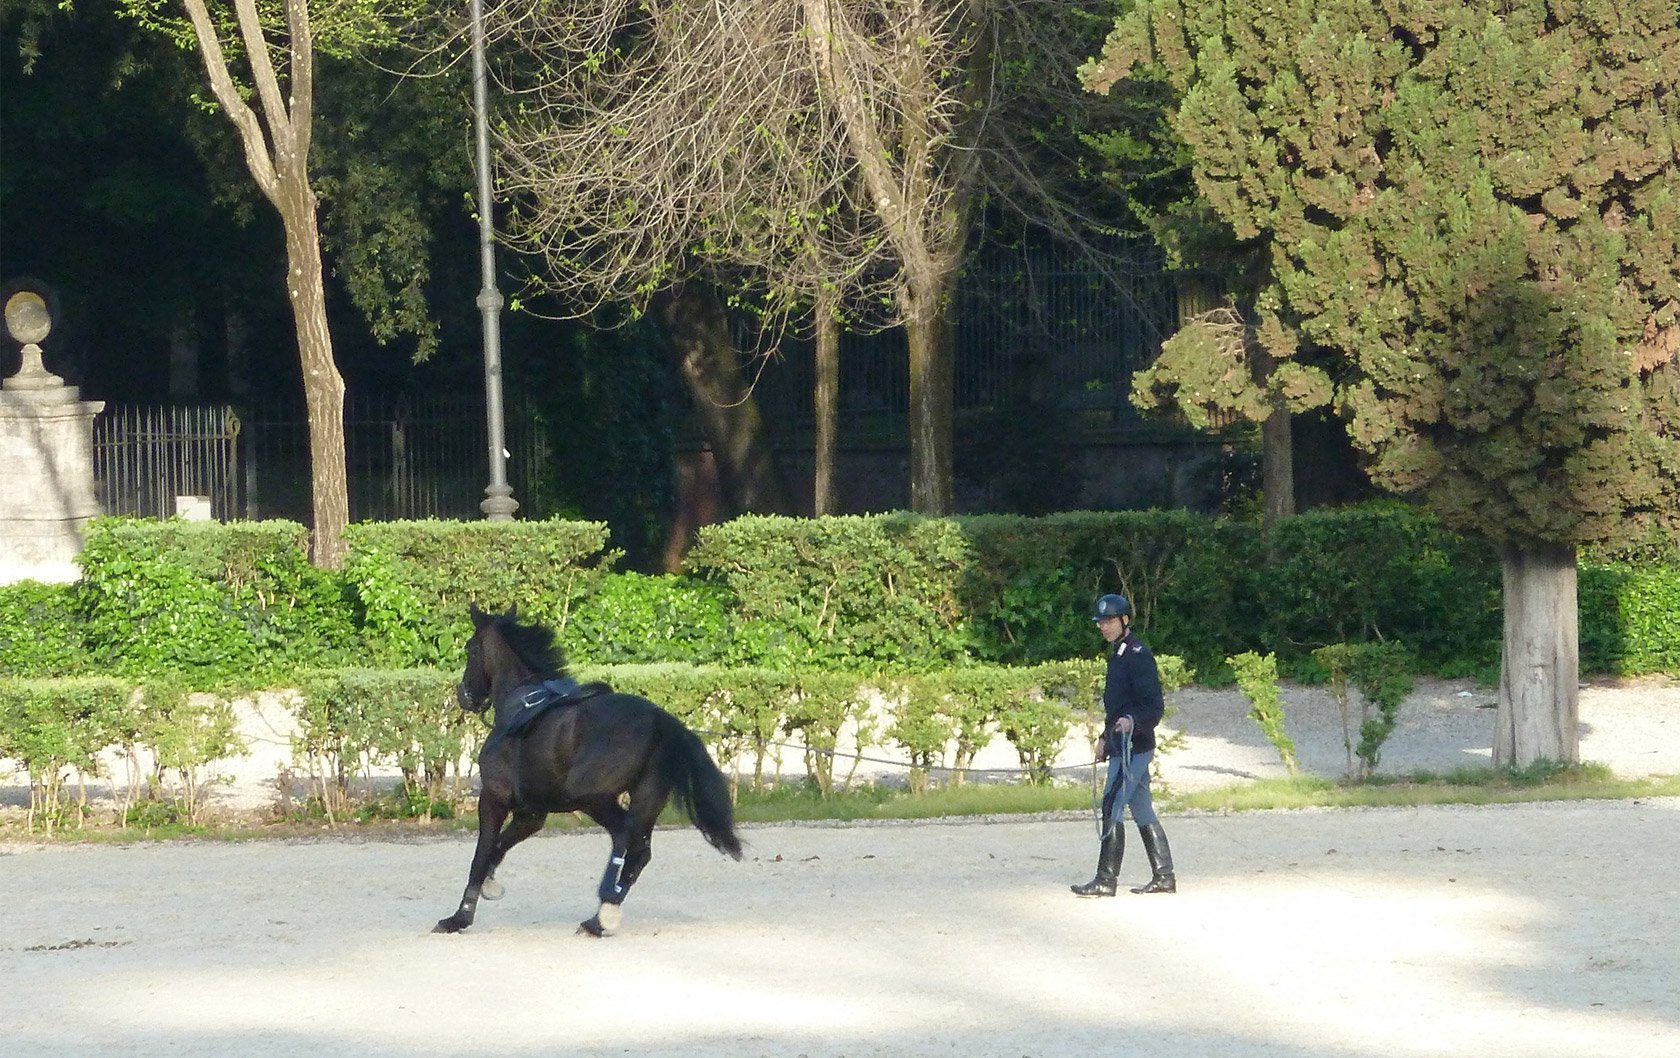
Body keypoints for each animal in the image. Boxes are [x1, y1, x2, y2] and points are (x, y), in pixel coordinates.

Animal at [433, 604, 742, 933]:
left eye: (471, 649)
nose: (465, 695)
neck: (521, 707)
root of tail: (659, 719)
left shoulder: (493, 798)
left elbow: (481, 856)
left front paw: (459, 917)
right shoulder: (532, 813)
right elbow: (498, 848)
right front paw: (490, 885)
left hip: (594, 797)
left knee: (624, 834)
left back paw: (604, 905)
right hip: (646, 798)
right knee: (640, 852)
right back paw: (600, 919)